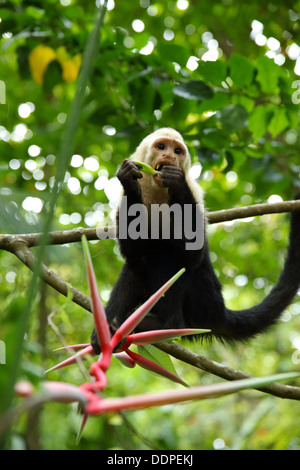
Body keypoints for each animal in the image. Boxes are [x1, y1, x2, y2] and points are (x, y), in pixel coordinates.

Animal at [91, 126, 300, 354]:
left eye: (177, 151)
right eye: (161, 147)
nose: (169, 156)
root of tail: (218, 311)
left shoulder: (195, 192)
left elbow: (192, 254)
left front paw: (176, 181)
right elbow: (132, 250)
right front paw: (128, 178)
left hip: (203, 301)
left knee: (169, 256)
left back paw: (167, 325)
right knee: (138, 261)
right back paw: (109, 328)